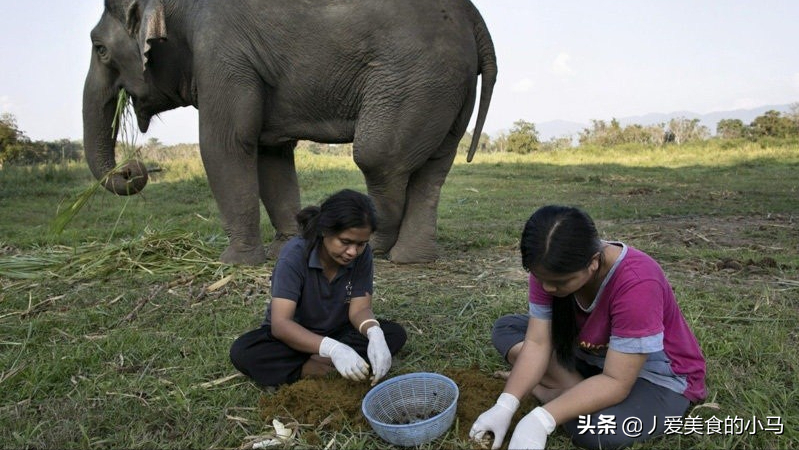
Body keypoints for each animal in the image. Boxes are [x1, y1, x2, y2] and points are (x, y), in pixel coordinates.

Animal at [84, 0, 496, 264]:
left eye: (100, 49)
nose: (133, 168)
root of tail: (475, 19)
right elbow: (270, 153)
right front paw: (286, 250)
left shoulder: (220, 54)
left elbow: (225, 144)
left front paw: (232, 263)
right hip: (448, 86)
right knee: (434, 168)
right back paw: (411, 259)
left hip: (416, 79)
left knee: (377, 158)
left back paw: (376, 247)